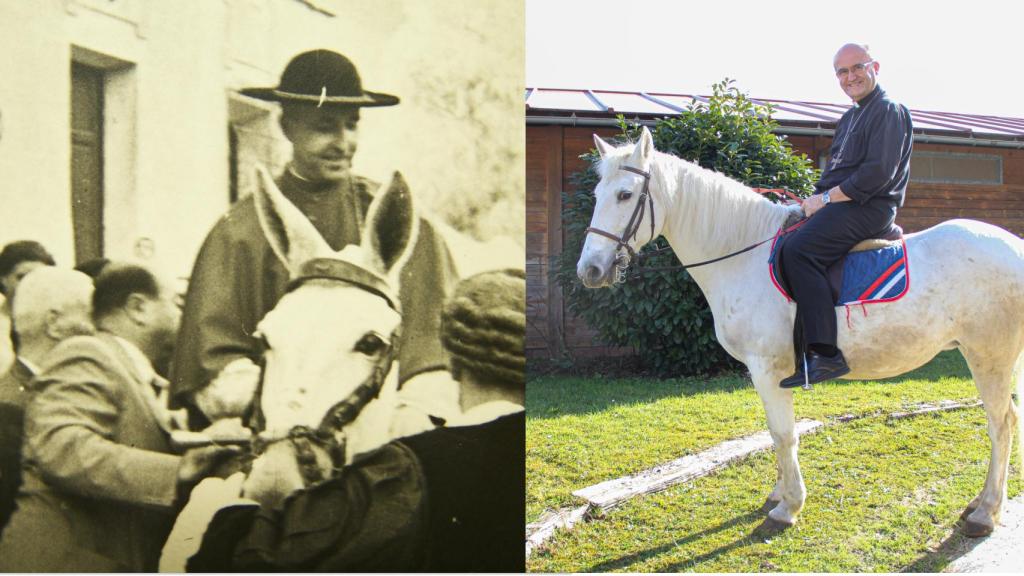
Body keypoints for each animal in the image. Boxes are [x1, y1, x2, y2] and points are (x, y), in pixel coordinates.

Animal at [577, 125, 1024, 532]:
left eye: (625, 195)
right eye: (598, 195)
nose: (590, 270)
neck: (744, 255)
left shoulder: (767, 369)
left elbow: (783, 434)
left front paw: (788, 506)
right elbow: (776, 435)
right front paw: (779, 493)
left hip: (989, 357)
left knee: (1000, 424)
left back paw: (985, 512)